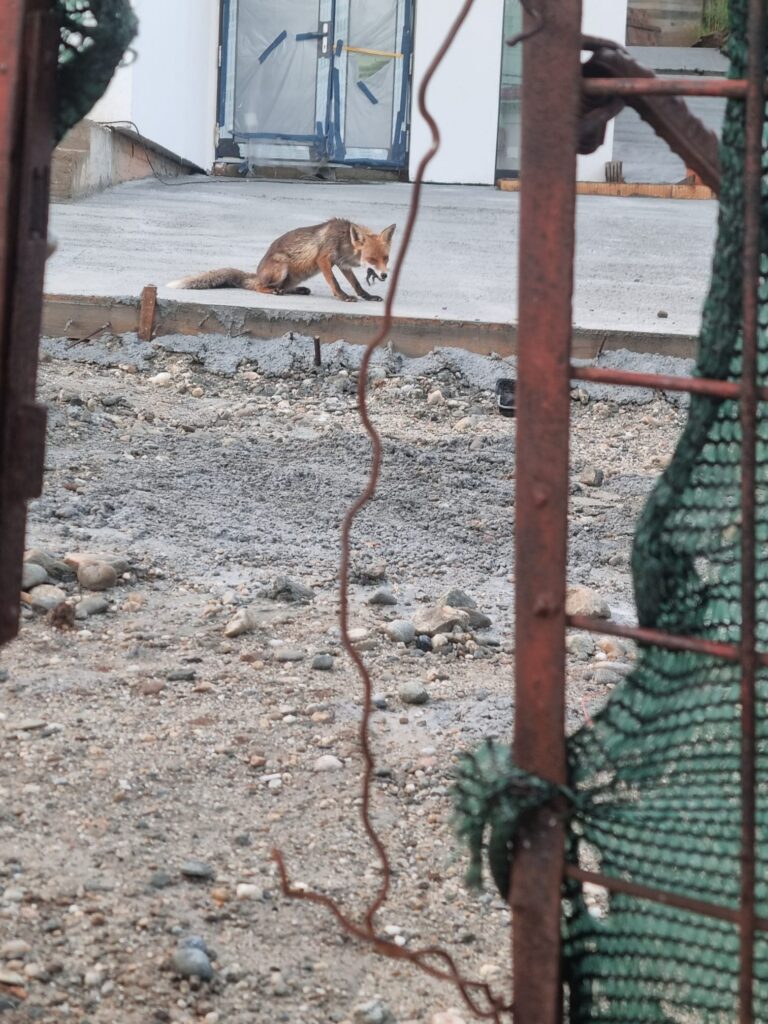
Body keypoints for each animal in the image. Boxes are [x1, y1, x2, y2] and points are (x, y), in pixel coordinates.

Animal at [167, 218, 396, 304]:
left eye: (385, 258)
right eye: (371, 259)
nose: (385, 275)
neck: (343, 240)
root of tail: (257, 273)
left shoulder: (343, 264)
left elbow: (356, 285)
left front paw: (368, 296)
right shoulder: (324, 259)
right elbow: (335, 282)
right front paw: (343, 296)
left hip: (293, 276)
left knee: (285, 287)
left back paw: (297, 290)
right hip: (281, 268)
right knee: (259, 287)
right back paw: (271, 291)